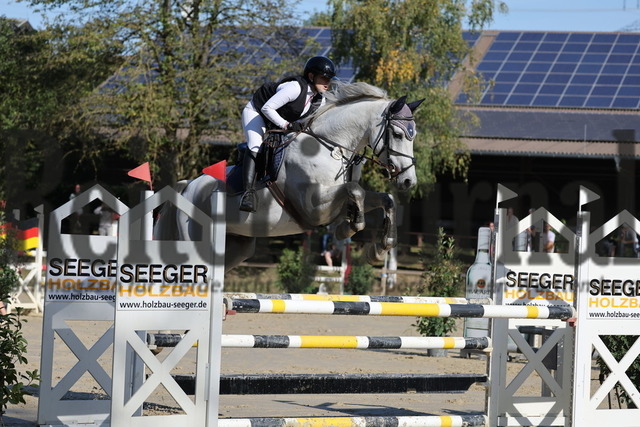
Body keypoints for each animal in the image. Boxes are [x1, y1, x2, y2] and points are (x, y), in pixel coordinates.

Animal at [154, 82, 424, 272]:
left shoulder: (336, 201)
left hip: (237, 245)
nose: (408, 181)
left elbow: (385, 199)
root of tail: (188, 187)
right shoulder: (314, 208)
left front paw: (379, 248)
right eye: (398, 134)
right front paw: (345, 230)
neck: (330, 147)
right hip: (195, 243)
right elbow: (354, 192)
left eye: (414, 134)